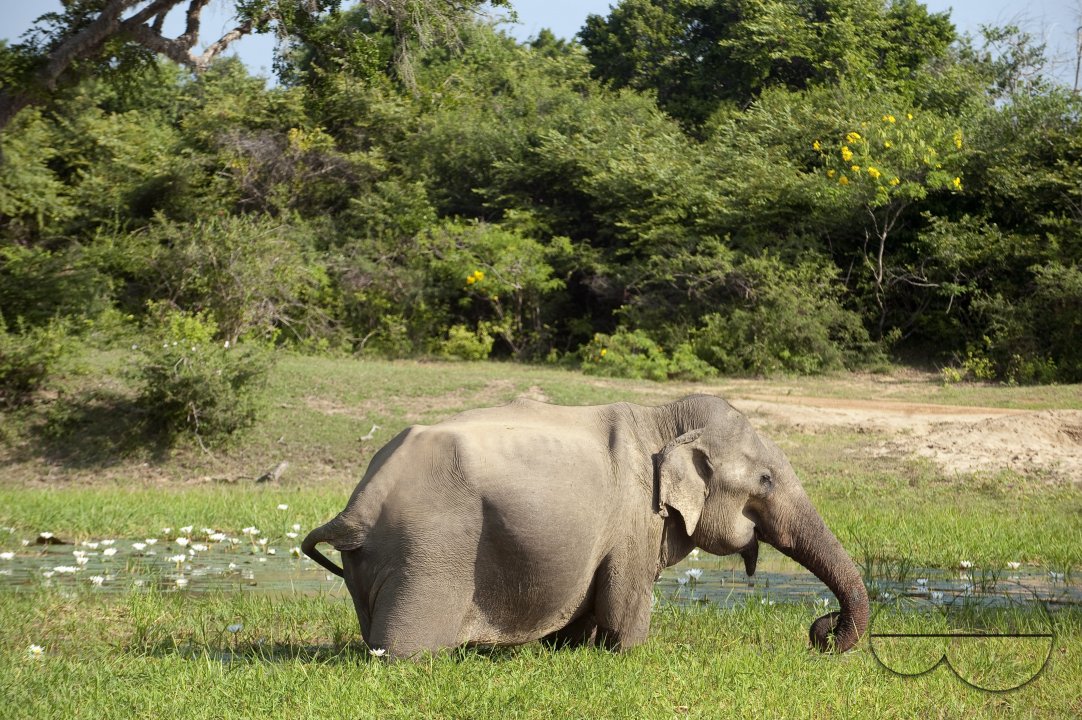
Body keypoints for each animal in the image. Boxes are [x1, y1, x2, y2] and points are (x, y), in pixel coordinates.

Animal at [303, 394, 868, 659]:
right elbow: (624, 607)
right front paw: (629, 653)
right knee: (404, 650)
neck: (662, 419)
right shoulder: (635, 517)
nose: (820, 633)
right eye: (767, 480)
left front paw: (572, 647)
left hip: (380, 560)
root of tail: (359, 505)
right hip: (429, 550)